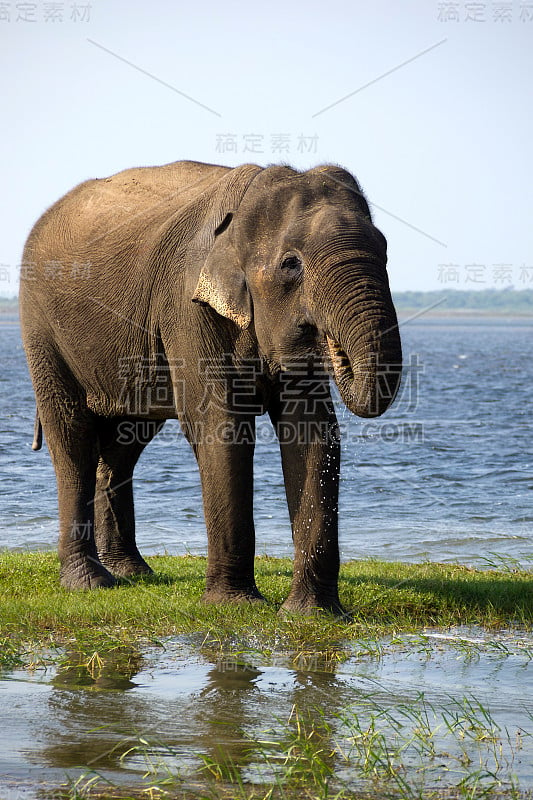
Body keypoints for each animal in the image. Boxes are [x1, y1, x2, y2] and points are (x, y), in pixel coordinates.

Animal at [20, 159, 402, 616]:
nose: (332, 346)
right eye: (291, 264)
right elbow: (222, 428)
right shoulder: (187, 307)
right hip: (42, 328)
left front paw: (312, 614)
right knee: (72, 439)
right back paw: (90, 583)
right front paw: (237, 605)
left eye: (385, 250)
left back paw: (132, 573)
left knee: (123, 445)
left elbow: (311, 432)